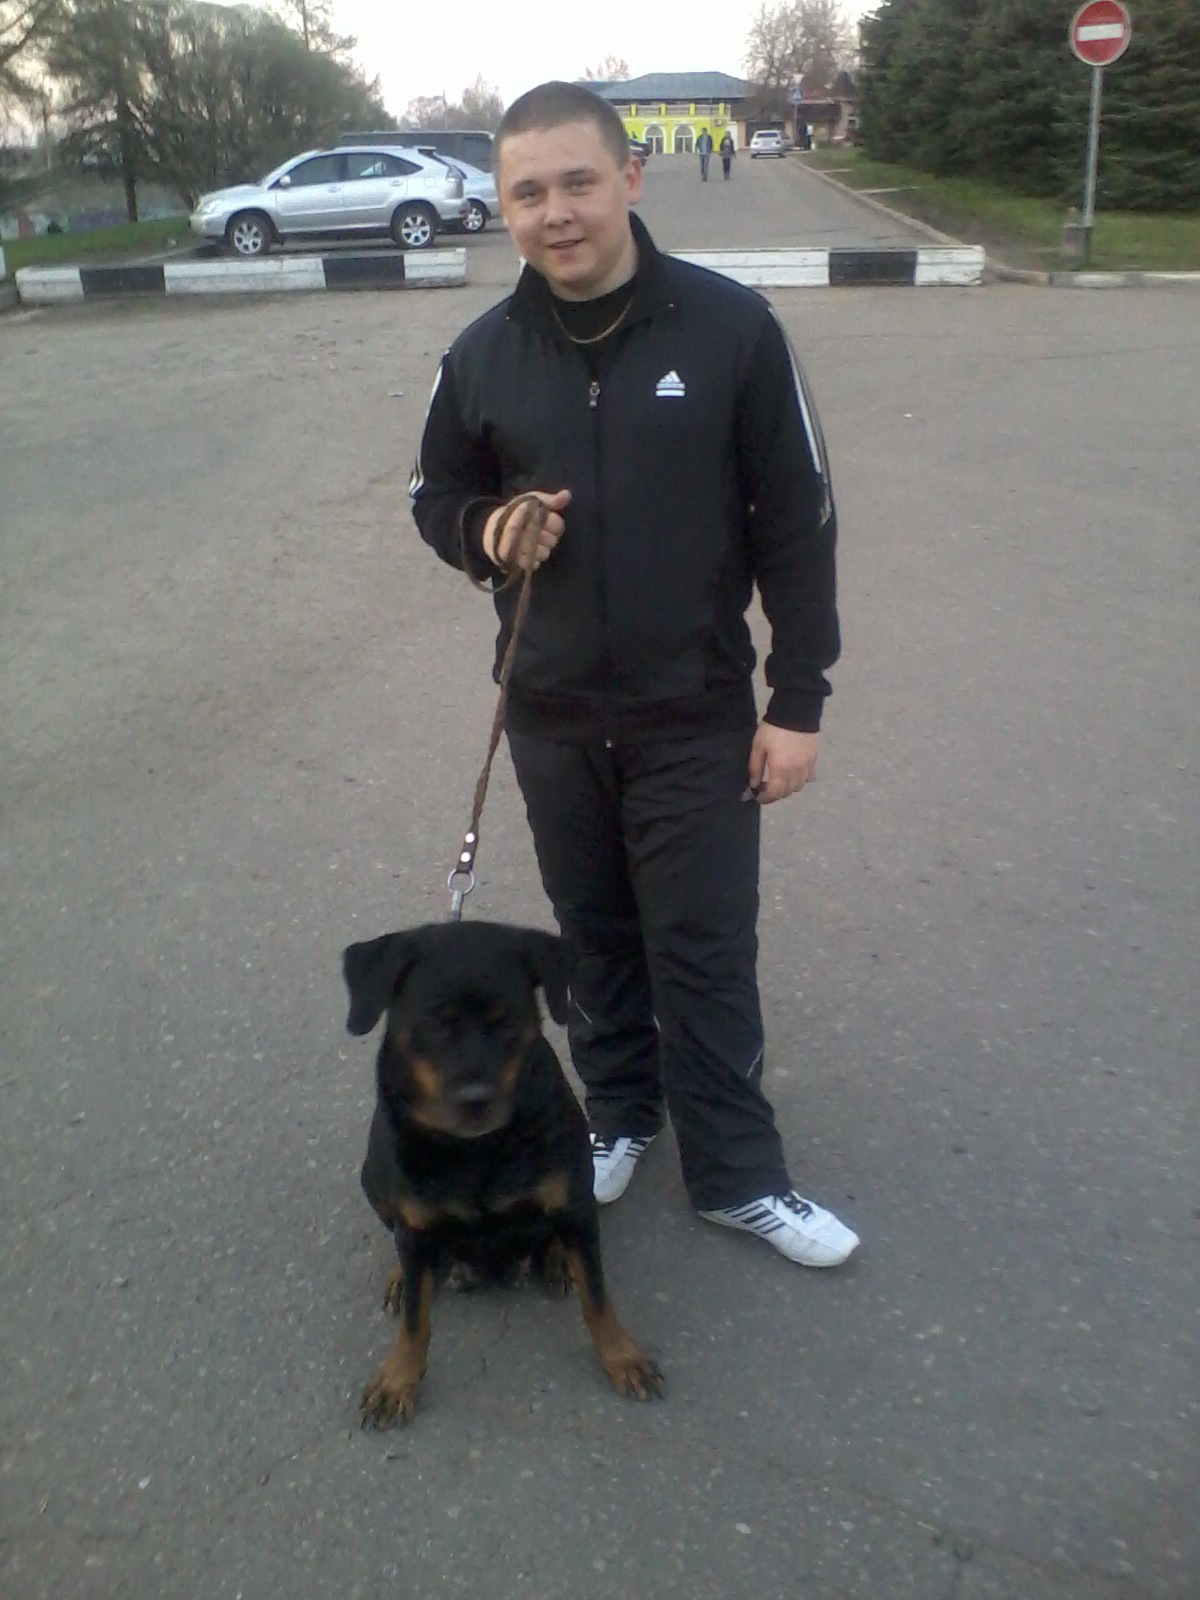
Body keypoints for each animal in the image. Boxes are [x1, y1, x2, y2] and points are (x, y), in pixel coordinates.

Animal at [342, 918, 663, 1426]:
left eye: (507, 1022)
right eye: (435, 1022)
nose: (475, 1099)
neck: (477, 1151)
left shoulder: (575, 1205)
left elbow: (597, 1298)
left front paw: (621, 1355)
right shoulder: (415, 1226)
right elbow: (416, 1319)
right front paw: (399, 1379)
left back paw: (556, 1258)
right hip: (371, 1176)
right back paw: (402, 1275)